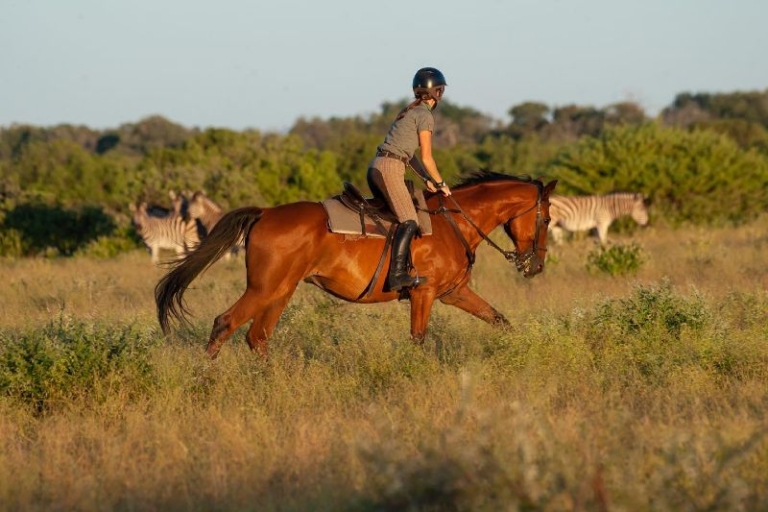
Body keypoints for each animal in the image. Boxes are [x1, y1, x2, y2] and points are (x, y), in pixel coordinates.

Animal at [155, 171, 557, 358]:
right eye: (547, 219)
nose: (536, 266)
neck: (454, 221)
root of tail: (266, 212)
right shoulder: (424, 294)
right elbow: (418, 339)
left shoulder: (454, 292)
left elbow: (499, 320)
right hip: (264, 288)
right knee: (225, 323)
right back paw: (204, 380)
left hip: (281, 290)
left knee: (258, 337)